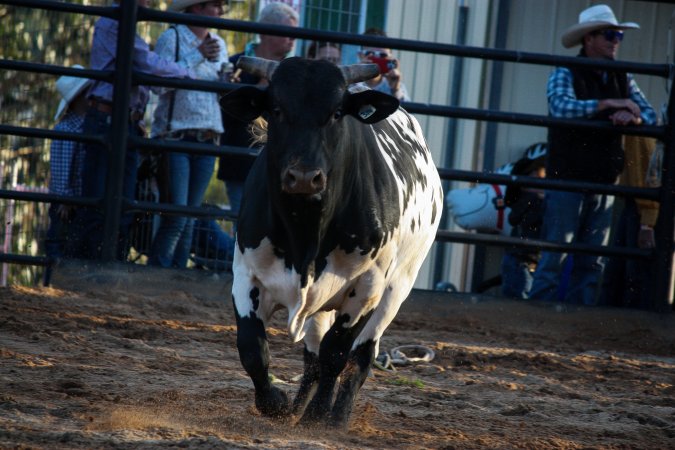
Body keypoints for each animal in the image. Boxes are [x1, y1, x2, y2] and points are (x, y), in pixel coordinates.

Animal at [220, 56, 443, 429]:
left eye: (337, 112)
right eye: (276, 108)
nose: (304, 177)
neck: (306, 234)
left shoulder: (368, 287)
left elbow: (336, 354)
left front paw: (318, 416)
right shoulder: (246, 275)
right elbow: (252, 347)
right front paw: (275, 403)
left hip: (398, 288)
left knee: (362, 355)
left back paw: (337, 416)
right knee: (312, 355)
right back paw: (296, 408)